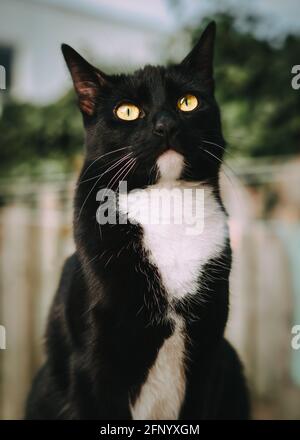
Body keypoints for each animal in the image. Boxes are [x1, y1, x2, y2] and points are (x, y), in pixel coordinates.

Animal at [25, 20, 250, 420]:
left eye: (188, 102)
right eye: (127, 111)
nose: (166, 124)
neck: (167, 203)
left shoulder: (209, 356)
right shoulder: (93, 365)